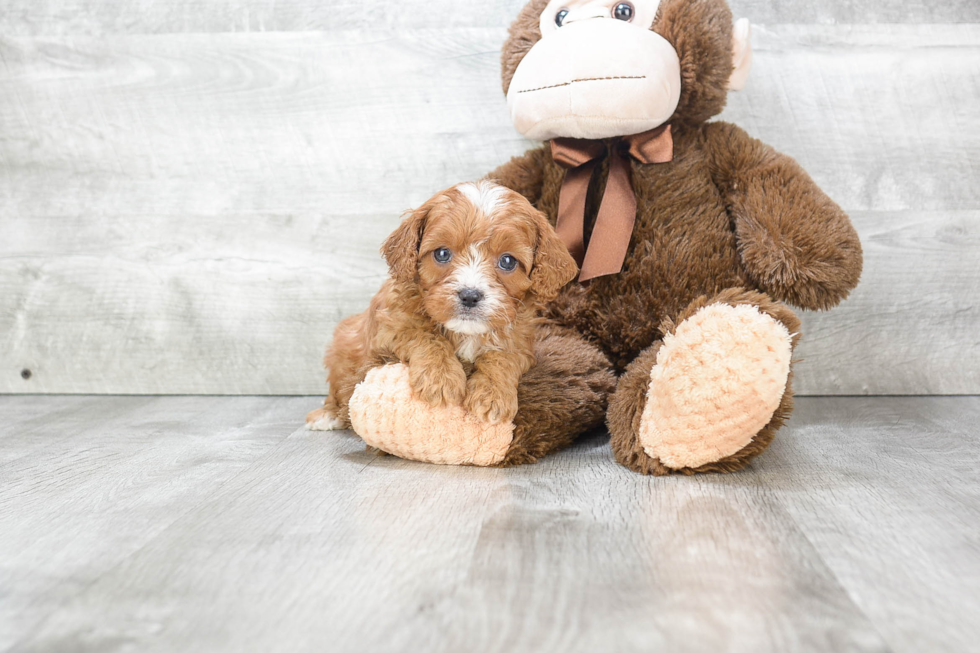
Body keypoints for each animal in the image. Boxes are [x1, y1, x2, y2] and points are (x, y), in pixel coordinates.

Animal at [306, 181, 580, 430]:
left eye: (508, 261)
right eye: (442, 254)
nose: (470, 296)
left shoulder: (520, 342)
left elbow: (502, 357)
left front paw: (492, 395)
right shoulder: (391, 327)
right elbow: (426, 336)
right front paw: (440, 379)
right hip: (342, 346)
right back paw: (326, 415)